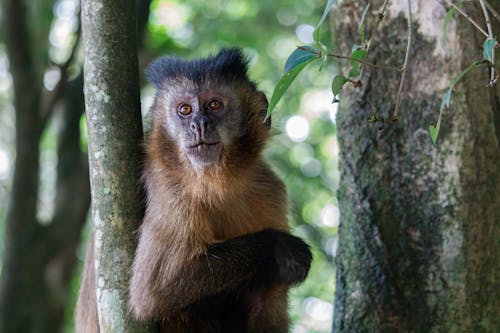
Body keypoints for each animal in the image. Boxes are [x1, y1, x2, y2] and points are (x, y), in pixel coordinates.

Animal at [75, 48, 310, 332]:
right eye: (185, 110)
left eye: (214, 105)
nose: (199, 124)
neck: (218, 182)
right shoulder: (168, 185)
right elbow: (153, 293)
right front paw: (282, 251)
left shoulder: (270, 189)